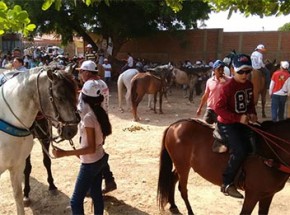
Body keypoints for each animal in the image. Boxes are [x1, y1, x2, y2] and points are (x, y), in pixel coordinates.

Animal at [0, 65, 79, 215]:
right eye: (59, 98)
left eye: (77, 94)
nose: (72, 130)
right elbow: (28, 169)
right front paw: (26, 194)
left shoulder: (42, 140)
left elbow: (46, 162)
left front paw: (52, 186)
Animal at [157, 118, 290, 214]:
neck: (270, 152)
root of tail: (175, 125)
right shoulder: (252, 194)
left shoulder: (268, 195)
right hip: (183, 166)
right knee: (183, 189)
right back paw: (189, 211)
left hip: (182, 165)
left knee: (172, 178)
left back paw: (173, 206)